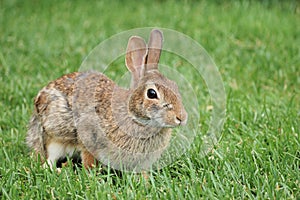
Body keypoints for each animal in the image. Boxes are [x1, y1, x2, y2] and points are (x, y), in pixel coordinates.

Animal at [27, 28, 188, 171]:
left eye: (175, 85)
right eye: (152, 93)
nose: (181, 118)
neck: (132, 114)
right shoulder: (89, 136)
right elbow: (88, 158)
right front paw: (90, 173)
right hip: (54, 135)